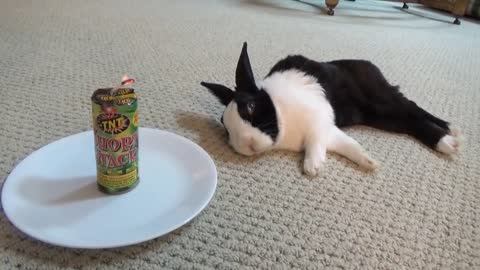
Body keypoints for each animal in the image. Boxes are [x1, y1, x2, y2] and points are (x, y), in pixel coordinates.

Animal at [200, 42, 462, 176]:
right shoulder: (329, 130)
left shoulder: (320, 118)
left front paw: (312, 166)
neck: (281, 115)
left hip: (381, 102)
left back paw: (448, 141)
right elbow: (348, 145)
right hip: (381, 116)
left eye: (251, 107)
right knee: (410, 116)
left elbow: (315, 141)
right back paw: (450, 132)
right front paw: (369, 162)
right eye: (226, 128)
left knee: (412, 113)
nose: (248, 146)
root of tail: (371, 67)